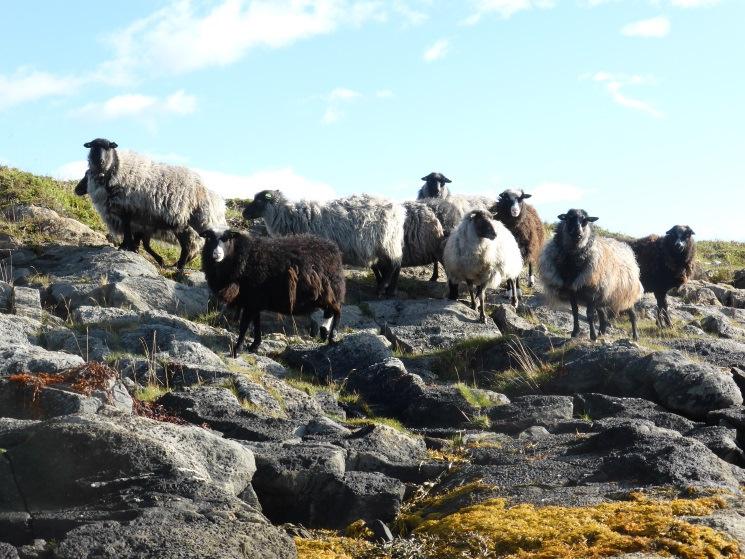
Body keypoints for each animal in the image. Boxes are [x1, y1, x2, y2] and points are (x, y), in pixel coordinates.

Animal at [81, 139, 227, 272]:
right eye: (92, 146)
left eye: (108, 147)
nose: (99, 161)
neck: (118, 169)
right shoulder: (135, 219)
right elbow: (136, 238)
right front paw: (131, 249)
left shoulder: (127, 210)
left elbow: (129, 232)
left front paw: (125, 247)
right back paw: (178, 265)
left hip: (187, 221)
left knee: (190, 246)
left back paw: (180, 267)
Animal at [201, 230, 346, 356]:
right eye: (209, 238)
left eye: (228, 239)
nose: (216, 254)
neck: (243, 257)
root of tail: (334, 248)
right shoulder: (254, 302)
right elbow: (256, 323)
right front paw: (254, 346)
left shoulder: (252, 301)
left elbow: (244, 326)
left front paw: (236, 350)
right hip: (325, 293)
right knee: (330, 310)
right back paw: (324, 333)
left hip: (331, 289)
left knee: (337, 310)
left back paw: (332, 336)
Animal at [243, 190, 406, 298]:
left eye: (259, 201)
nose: (244, 213)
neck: (289, 216)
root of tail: (399, 210)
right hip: (380, 245)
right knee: (387, 265)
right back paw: (387, 289)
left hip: (387, 241)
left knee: (394, 265)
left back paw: (383, 289)